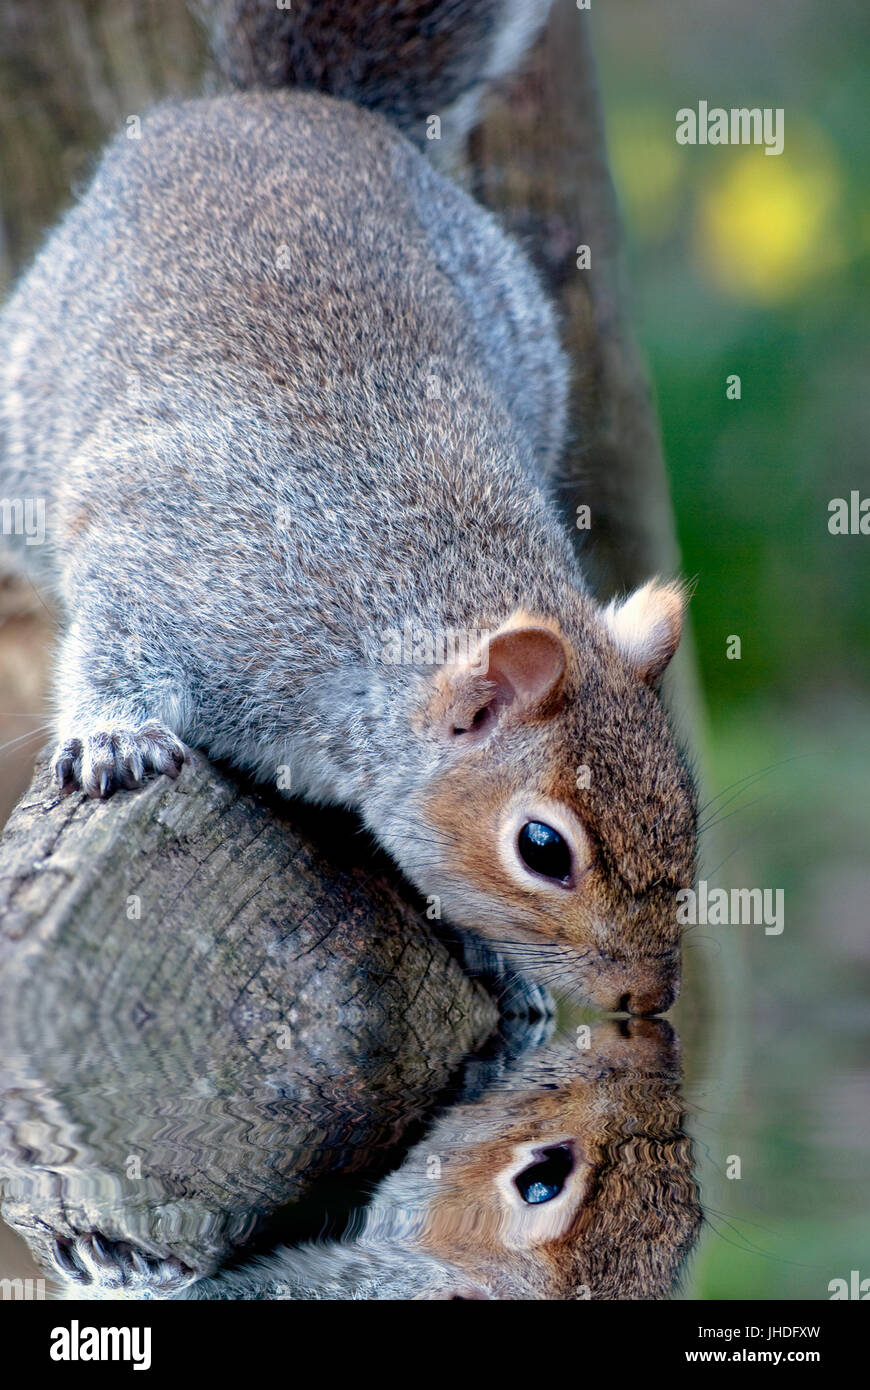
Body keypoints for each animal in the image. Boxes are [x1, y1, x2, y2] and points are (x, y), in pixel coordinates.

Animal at [0, 5, 692, 1017]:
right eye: (542, 848)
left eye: (687, 806)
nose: (649, 995)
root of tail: (288, 106)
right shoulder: (191, 569)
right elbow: (116, 637)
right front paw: (115, 739)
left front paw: (494, 967)